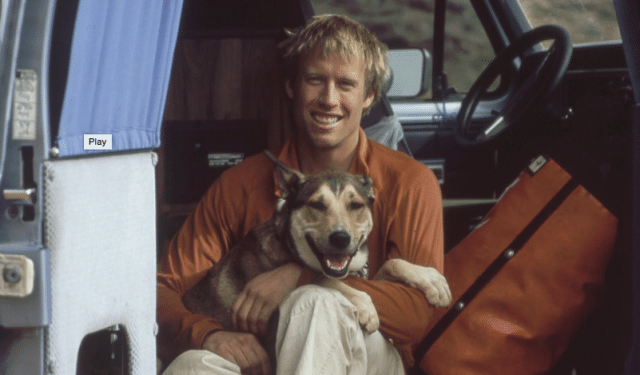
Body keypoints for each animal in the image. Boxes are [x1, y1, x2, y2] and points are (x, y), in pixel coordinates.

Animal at [182, 151, 452, 334]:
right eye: (316, 205)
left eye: (356, 205)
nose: (341, 238)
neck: (288, 245)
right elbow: (323, 278)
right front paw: (365, 305)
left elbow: (393, 262)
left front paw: (429, 278)